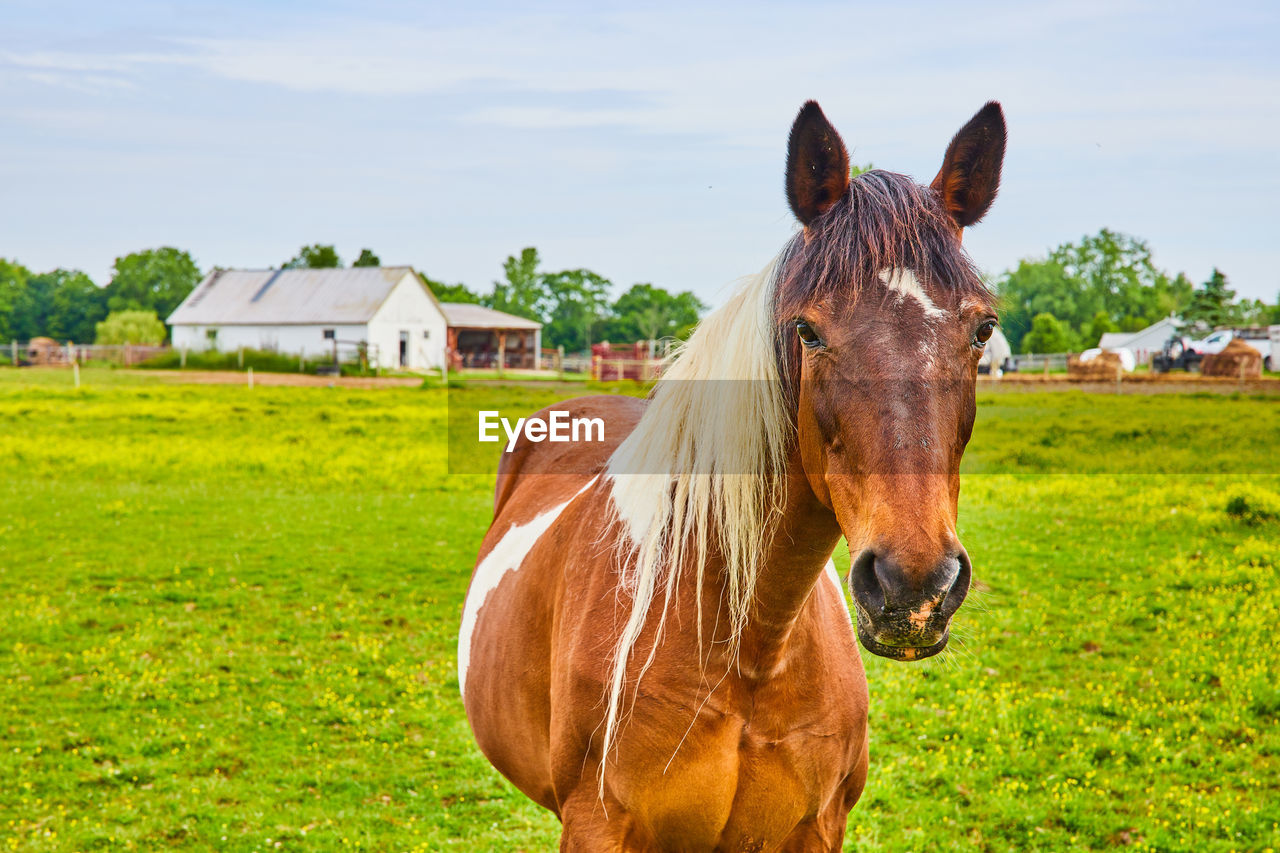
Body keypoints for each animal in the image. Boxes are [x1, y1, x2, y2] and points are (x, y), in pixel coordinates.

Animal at [455, 96, 1003, 845]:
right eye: (807, 330)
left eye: (982, 330)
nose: (914, 585)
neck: (750, 649)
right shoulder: (596, 828)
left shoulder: (817, 829)